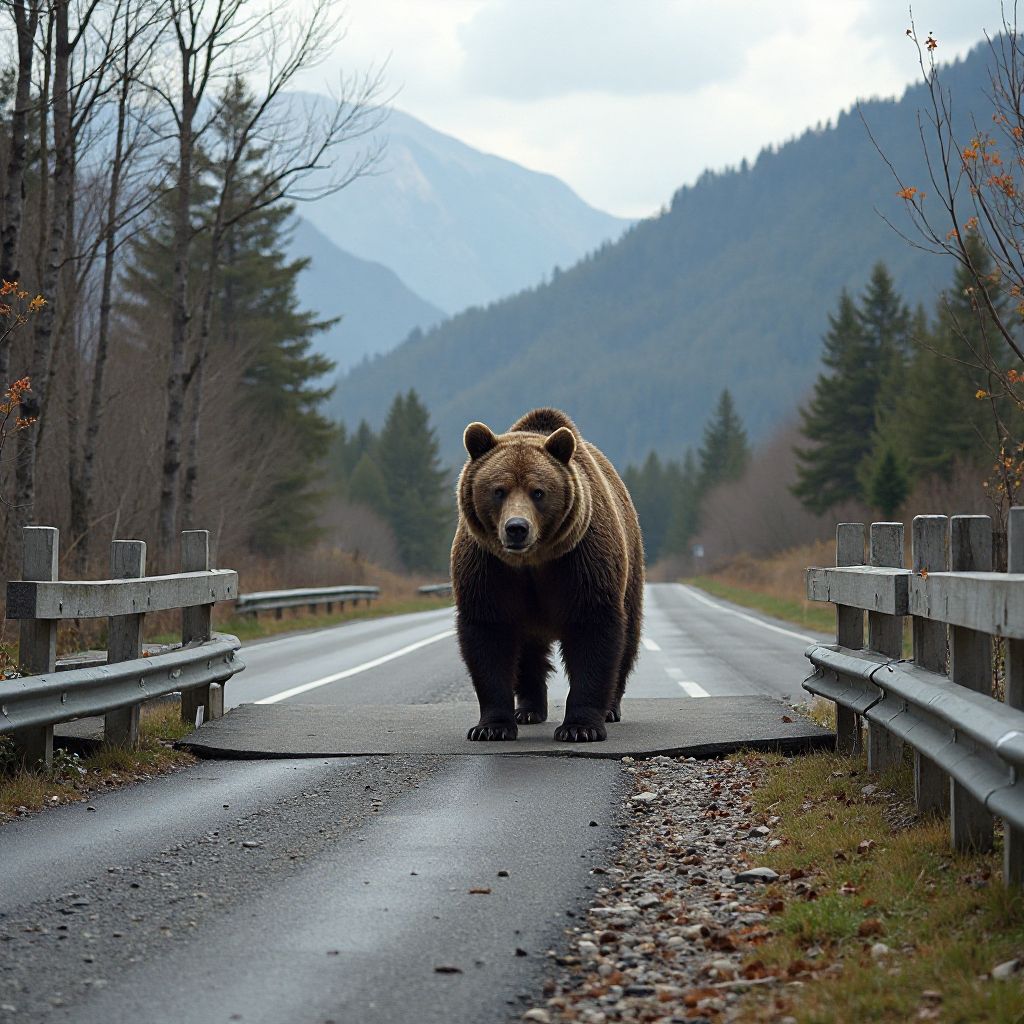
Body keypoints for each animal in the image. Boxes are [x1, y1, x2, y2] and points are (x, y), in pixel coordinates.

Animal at [451, 408, 644, 742]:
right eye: (498, 490)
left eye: (538, 492)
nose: (516, 528)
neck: (531, 561)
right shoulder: (488, 567)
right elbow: (488, 634)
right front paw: (491, 727)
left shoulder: (580, 560)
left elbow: (593, 629)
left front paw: (580, 728)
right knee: (528, 653)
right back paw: (528, 709)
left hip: (630, 567)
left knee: (627, 638)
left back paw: (610, 708)